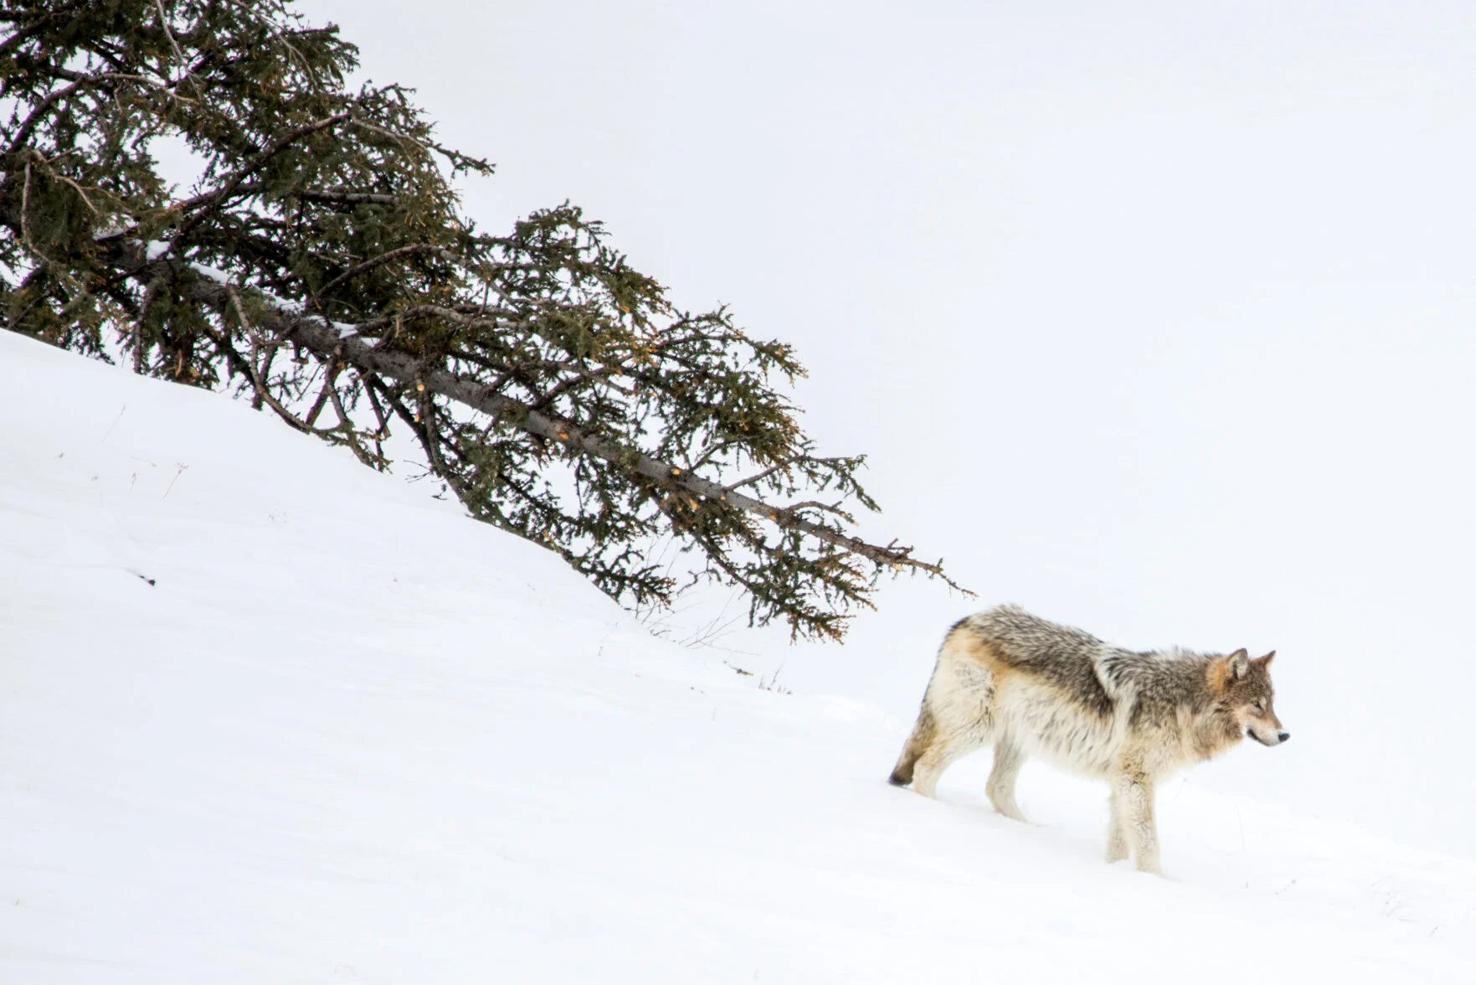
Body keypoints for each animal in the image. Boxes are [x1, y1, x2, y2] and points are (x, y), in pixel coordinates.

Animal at [888, 605, 1288, 874]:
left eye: (1272, 704)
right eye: (1257, 705)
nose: (1285, 734)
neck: (1183, 703)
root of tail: (967, 620)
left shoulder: (1123, 782)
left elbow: (1120, 842)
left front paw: (1115, 873)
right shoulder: (1134, 780)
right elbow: (1148, 842)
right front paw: (1157, 881)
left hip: (1018, 738)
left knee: (995, 787)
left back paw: (1027, 829)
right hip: (979, 728)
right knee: (926, 767)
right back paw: (934, 811)